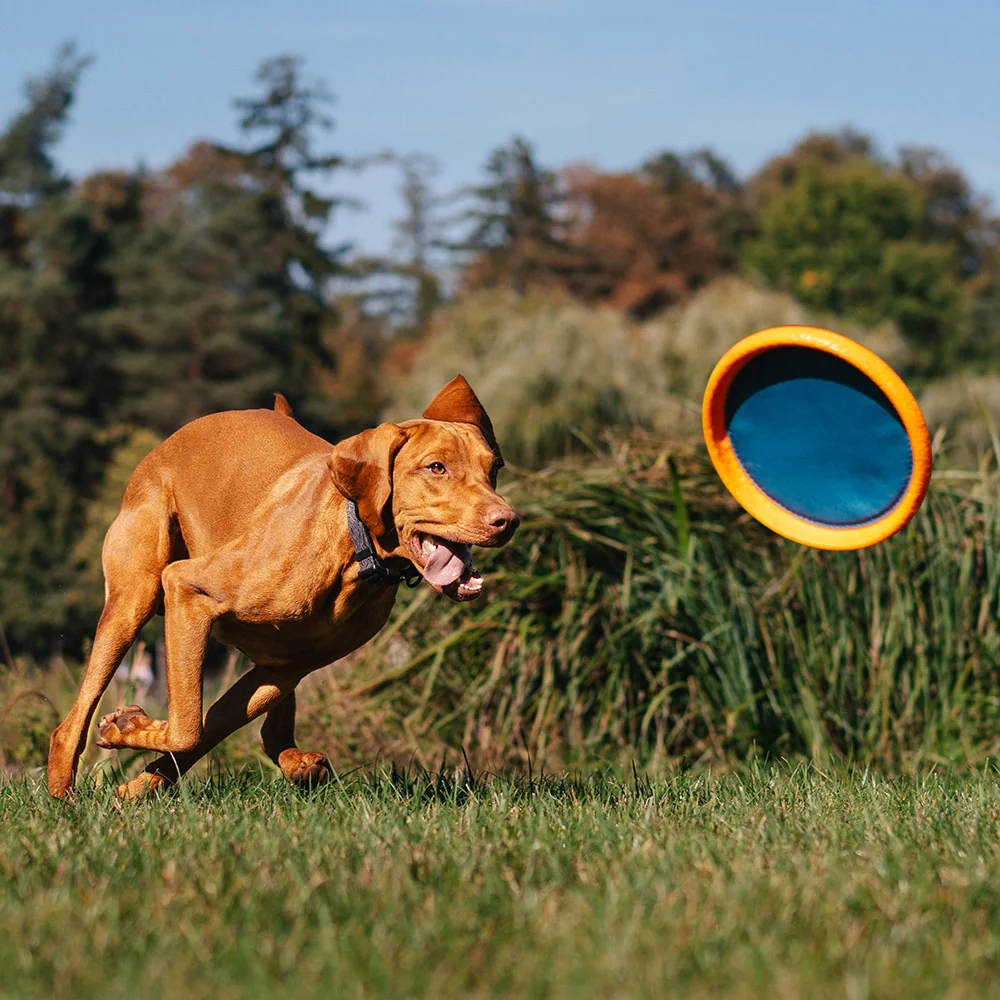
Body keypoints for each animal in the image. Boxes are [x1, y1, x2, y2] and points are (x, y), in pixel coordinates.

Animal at [47, 376, 520, 796]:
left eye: (493, 468)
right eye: (436, 467)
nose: (508, 521)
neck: (353, 549)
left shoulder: (286, 667)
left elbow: (201, 733)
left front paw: (135, 779)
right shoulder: (187, 589)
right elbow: (187, 729)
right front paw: (128, 730)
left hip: (273, 656)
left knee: (267, 732)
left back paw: (297, 764)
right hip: (134, 600)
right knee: (71, 723)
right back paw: (64, 795)